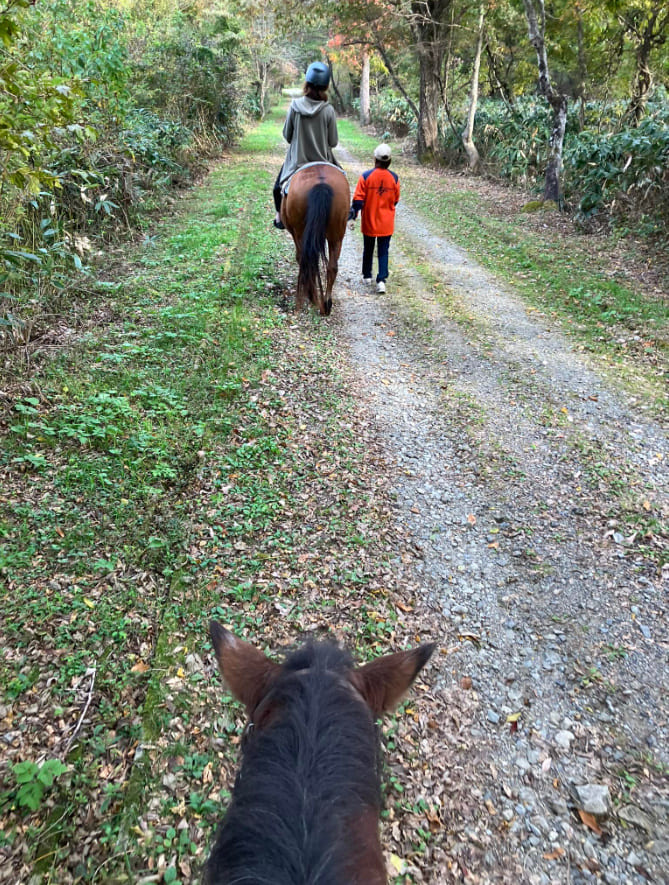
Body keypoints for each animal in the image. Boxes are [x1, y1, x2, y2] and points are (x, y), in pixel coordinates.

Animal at [280, 162, 350, 318]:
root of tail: (321, 182)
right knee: (332, 267)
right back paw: (326, 303)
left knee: (307, 261)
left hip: (300, 232)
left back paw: (313, 297)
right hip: (337, 234)